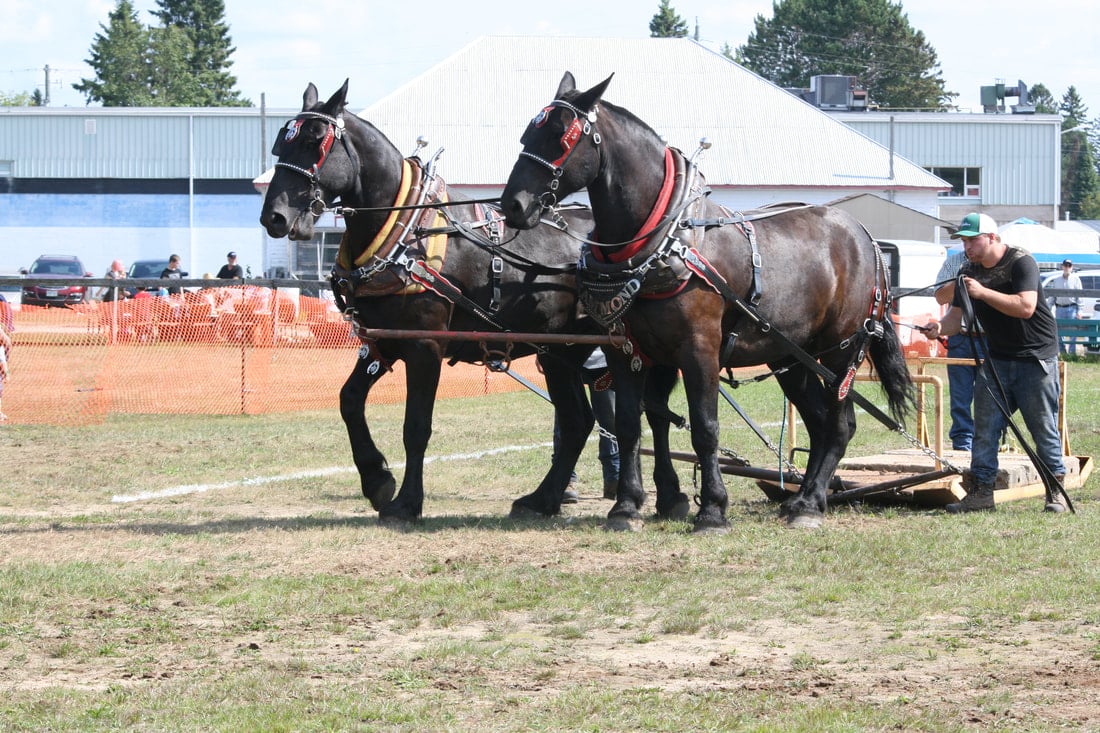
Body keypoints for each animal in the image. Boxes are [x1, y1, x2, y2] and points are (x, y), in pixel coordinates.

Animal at [258, 81, 686, 519]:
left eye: (315, 142)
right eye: (281, 143)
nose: (273, 216)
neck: (406, 232)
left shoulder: (425, 346)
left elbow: (416, 427)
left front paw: (407, 501)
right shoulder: (381, 341)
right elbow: (348, 401)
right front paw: (377, 479)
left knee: (628, 416)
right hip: (559, 352)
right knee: (580, 421)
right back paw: (545, 498)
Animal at [499, 72, 910, 530]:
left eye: (561, 137)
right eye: (527, 134)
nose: (512, 204)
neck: (663, 240)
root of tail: (865, 238)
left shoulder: (699, 348)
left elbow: (704, 426)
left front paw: (712, 508)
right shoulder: (627, 350)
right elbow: (629, 425)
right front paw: (626, 506)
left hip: (840, 350)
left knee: (840, 424)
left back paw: (808, 504)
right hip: (791, 355)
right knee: (821, 424)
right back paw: (803, 498)